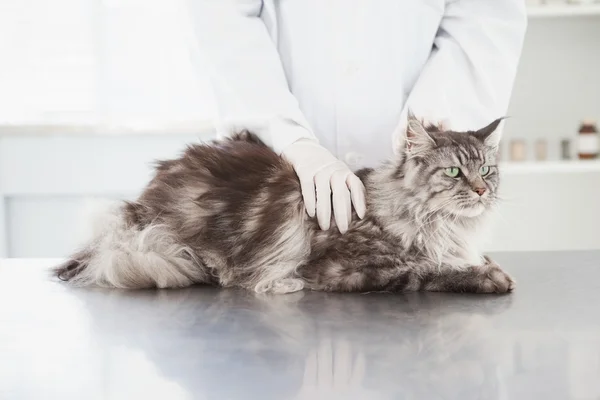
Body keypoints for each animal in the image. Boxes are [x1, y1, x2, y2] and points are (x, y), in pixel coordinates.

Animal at [54, 114, 516, 296]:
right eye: (454, 172)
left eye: (486, 170)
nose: (482, 191)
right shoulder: (343, 266)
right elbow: (425, 270)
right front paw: (489, 276)